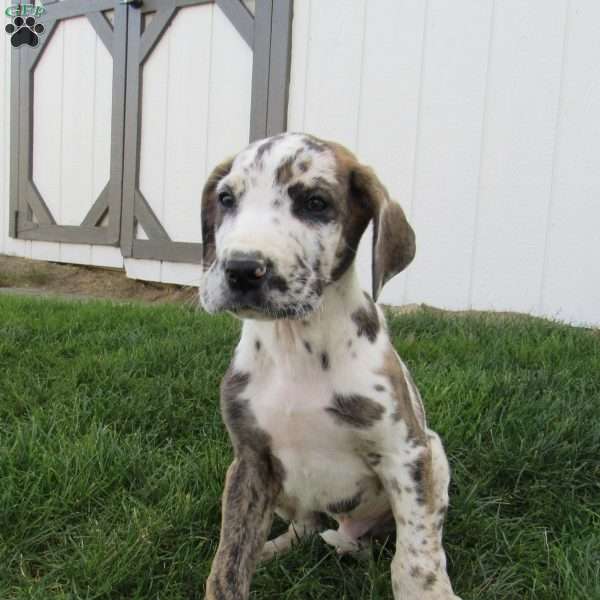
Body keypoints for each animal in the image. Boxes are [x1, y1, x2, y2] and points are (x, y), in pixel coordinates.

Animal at [200, 134, 460, 596]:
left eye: (316, 203)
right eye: (226, 199)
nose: (242, 269)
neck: (296, 344)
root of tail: (347, 529)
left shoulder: (405, 454)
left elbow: (416, 558)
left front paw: (428, 589)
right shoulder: (250, 461)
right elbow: (229, 560)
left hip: (436, 454)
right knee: (304, 528)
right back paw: (272, 550)